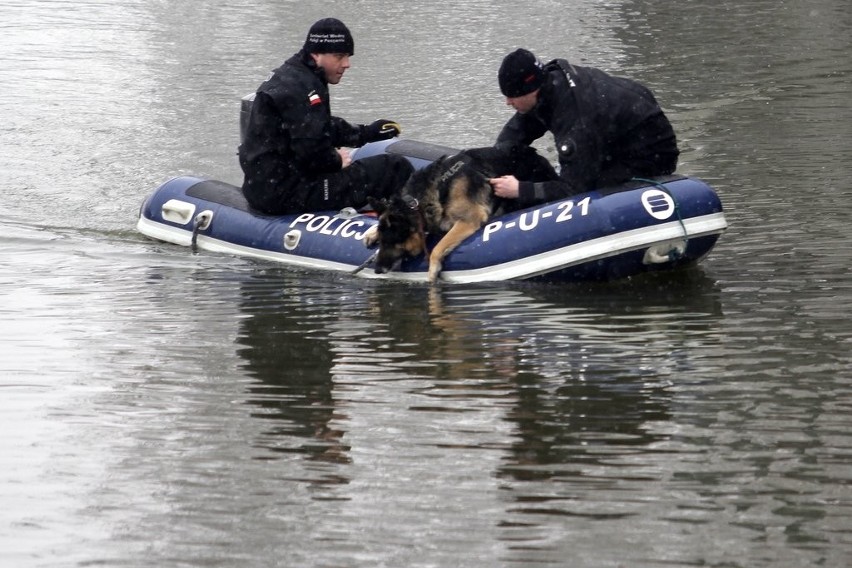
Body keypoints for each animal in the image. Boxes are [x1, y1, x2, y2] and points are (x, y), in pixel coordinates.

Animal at [362, 145, 556, 280]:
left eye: (390, 242)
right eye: (382, 242)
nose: (377, 270)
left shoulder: (469, 220)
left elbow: (438, 247)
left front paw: (432, 270)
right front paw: (371, 232)